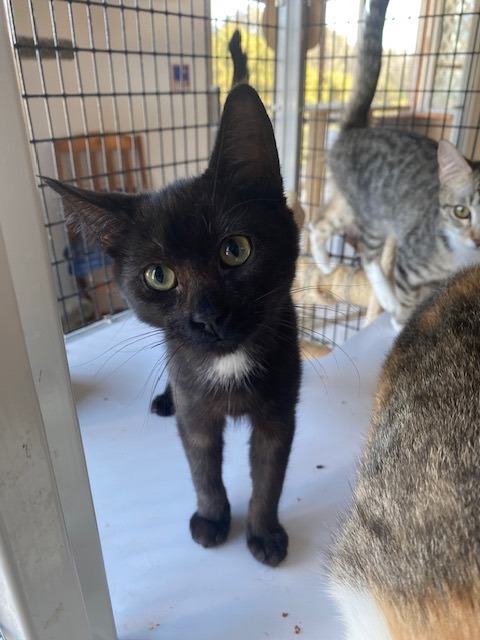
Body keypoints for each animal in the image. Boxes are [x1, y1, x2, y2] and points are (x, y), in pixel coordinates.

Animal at [45, 82, 300, 568]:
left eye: (235, 250)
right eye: (158, 276)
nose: (209, 316)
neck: (227, 363)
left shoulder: (280, 411)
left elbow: (270, 477)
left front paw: (264, 533)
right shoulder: (194, 409)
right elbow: (203, 470)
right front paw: (213, 518)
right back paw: (164, 401)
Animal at [310, 0, 480, 328]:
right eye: (462, 211)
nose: (476, 241)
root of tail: (357, 129)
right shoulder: (410, 262)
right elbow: (408, 304)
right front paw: (400, 322)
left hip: (351, 203)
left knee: (318, 222)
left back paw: (323, 263)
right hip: (373, 214)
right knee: (368, 255)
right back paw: (385, 298)